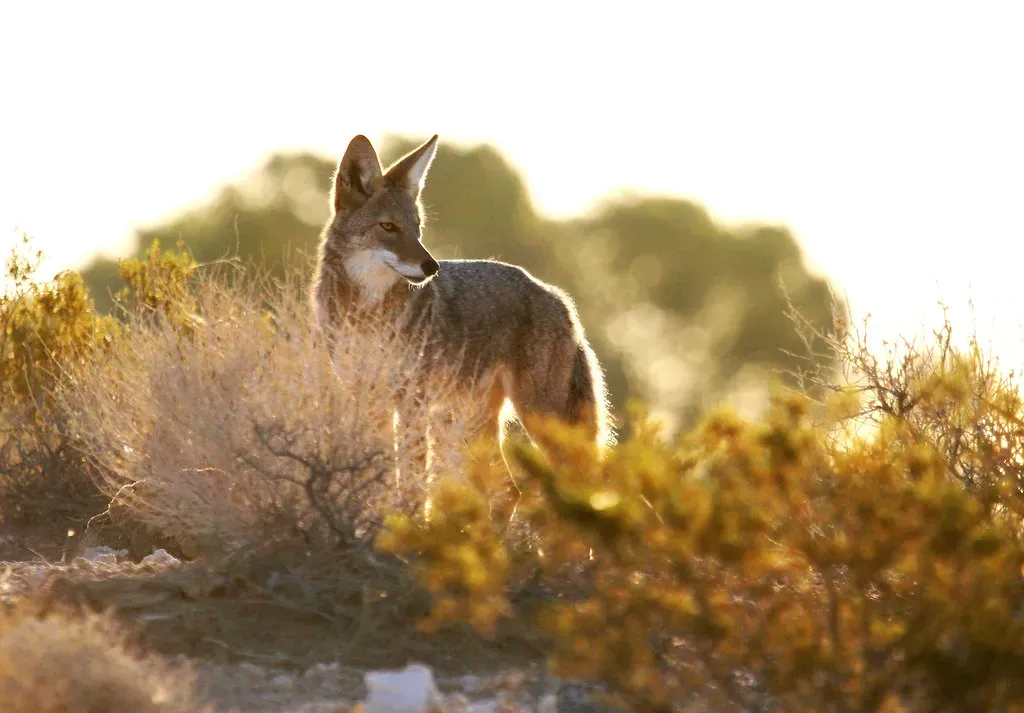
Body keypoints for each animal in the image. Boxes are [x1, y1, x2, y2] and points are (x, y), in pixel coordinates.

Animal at [310, 134, 611, 498]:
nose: (431, 267)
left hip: (538, 418)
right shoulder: (366, 399)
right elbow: (375, 477)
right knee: (510, 490)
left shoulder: (412, 402)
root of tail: (558, 296)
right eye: (388, 227)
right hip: (469, 423)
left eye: (418, 228)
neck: (366, 315)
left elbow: (411, 483)